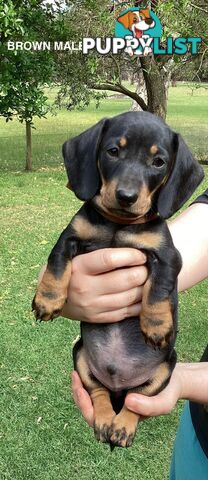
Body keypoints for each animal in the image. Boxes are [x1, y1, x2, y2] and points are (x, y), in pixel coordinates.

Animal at [32, 111, 203, 446]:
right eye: (113, 151)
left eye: (159, 162)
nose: (126, 197)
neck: (118, 223)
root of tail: (118, 387)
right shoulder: (70, 237)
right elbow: (56, 264)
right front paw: (47, 300)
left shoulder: (167, 256)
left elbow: (159, 288)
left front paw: (156, 325)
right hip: (81, 356)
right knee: (98, 392)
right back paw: (104, 419)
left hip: (166, 368)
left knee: (136, 401)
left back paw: (122, 425)